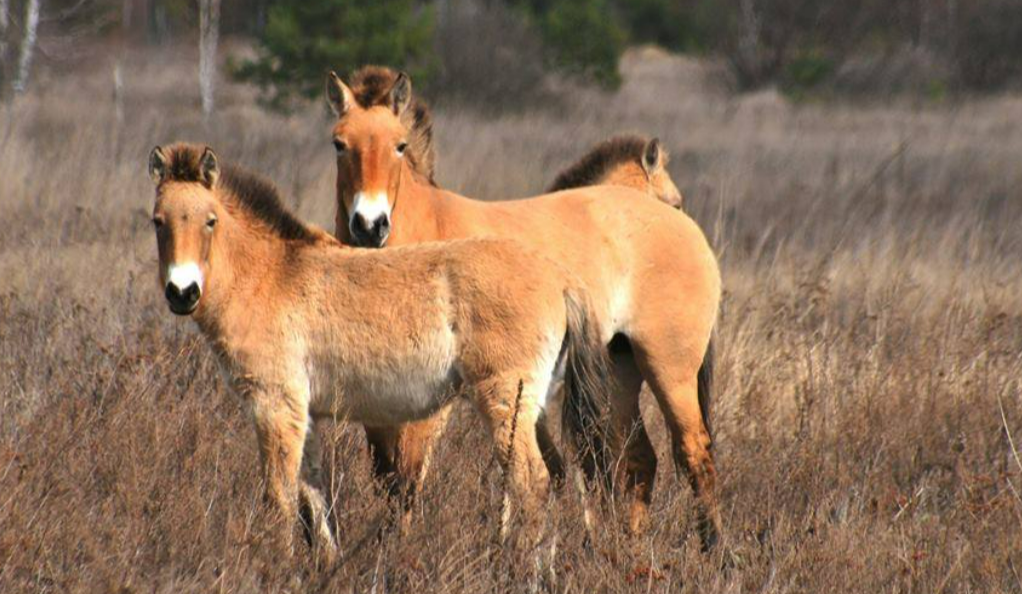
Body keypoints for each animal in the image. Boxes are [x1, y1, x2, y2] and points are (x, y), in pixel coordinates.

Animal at [147, 141, 609, 560]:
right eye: (158, 222)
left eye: (210, 221)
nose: (182, 293)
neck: (269, 276)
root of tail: (560, 277)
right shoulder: (306, 414)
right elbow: (314, 500)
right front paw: (327, 569)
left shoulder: (274, 406)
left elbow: (280, 499)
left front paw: (274, 568)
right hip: (536, 406)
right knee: (558, 477)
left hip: (505, 402)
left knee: (532, 482)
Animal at [329, 69, 727, 547]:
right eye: (339, 143)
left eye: (399, 145)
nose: (369, 226)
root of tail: (689, 234)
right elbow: (389, 477)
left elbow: (408, 478)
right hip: (619, 369)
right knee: (638, 462)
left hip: (669, 369)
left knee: (693, 454)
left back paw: (714, 551)